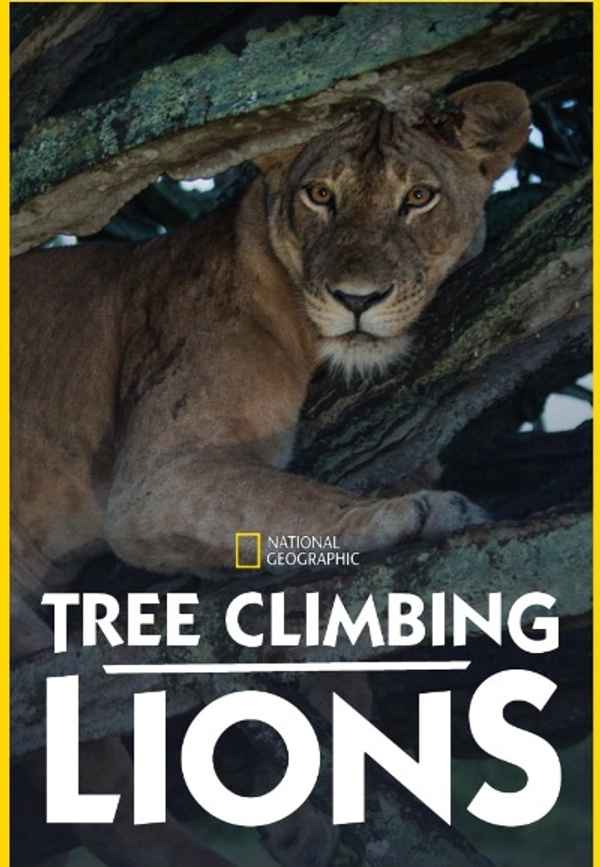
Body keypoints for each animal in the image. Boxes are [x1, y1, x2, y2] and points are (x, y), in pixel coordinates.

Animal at [11, 82, 530, 867]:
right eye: (321, 195)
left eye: (418, 197)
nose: (357, 299)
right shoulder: (157, 481)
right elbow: (297, 500)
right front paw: (421, 512)